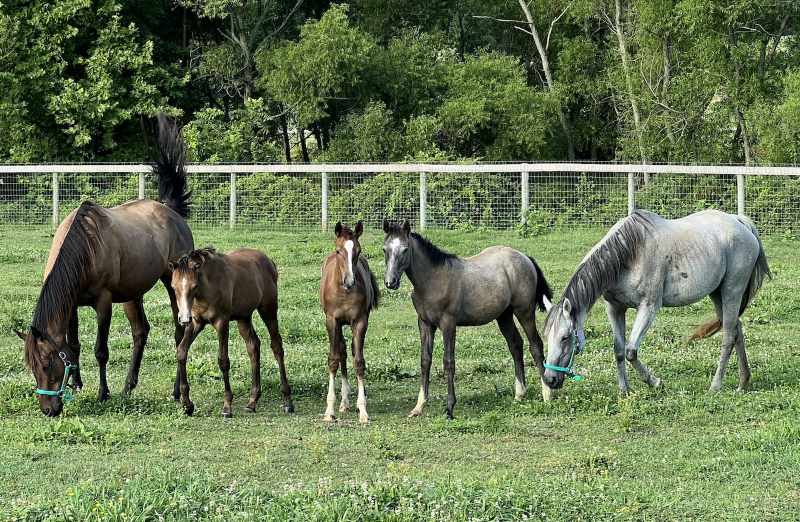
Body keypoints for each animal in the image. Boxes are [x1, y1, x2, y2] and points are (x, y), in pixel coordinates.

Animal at [15, 116, 194, 417]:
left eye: (47, 363)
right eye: (31, 366)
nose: (48, 409)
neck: (84, 249)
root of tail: (169, 210)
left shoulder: (103, 303)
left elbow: (101, 350)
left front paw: (102, 393)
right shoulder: (72, 305)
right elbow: (74, 345)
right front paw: (77, 384)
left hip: (172, 284)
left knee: (179, 332)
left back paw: (175, 392)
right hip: (133, 294)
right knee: (140, 332)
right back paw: (128, 386)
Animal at [170, 247, 294, 417]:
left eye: (193, 286)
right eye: (174, 287)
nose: (183, 319)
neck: (207, 288)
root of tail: (269, 261)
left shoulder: (222, 323)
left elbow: (223, 361)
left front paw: (227, 406)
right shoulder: (196, 322)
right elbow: (181, 351)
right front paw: (187, 405)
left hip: (268, 309)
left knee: (277, 347)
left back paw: (288, 401)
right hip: (244, 317)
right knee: (253, 346)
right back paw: (252, 401)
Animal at [320, 221, 379, 424]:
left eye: (358, 251)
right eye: (339, 251)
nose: (349, 281)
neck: (344, 292)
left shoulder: (360, 321)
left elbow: (359, 361)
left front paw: (363, 410)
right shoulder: (332, 321)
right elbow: (333, 359)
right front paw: (329, 410)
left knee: (350, 352)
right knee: (342, 352)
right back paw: (343, 401)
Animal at [382, 219, 552, 419]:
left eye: (405, 249)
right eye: (385, 249)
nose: (391, 282)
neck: (433, 280)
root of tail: (525, 258)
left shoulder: (448, 324)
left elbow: (448, 362)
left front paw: (449, 408)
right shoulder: (425, 323)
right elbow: (425, 360)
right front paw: (419, 406)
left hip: (524, 311)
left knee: (535, 346)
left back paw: (547, 394)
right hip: (504, 316)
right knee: (515, 345)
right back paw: (519, 394)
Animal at [542, 209, 771, 394]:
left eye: (565, 337)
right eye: (546, 336)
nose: (549, 379)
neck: (628, 254)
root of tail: (740, 223)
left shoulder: (649, 307)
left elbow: (631, 351)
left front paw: (655, 382)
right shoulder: (615, 308)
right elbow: (619, 350)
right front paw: (624, 391)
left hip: (732, 291)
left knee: (728, 336)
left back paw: (716, 386)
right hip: (717, 294)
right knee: (736, 330)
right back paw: (743, 382)